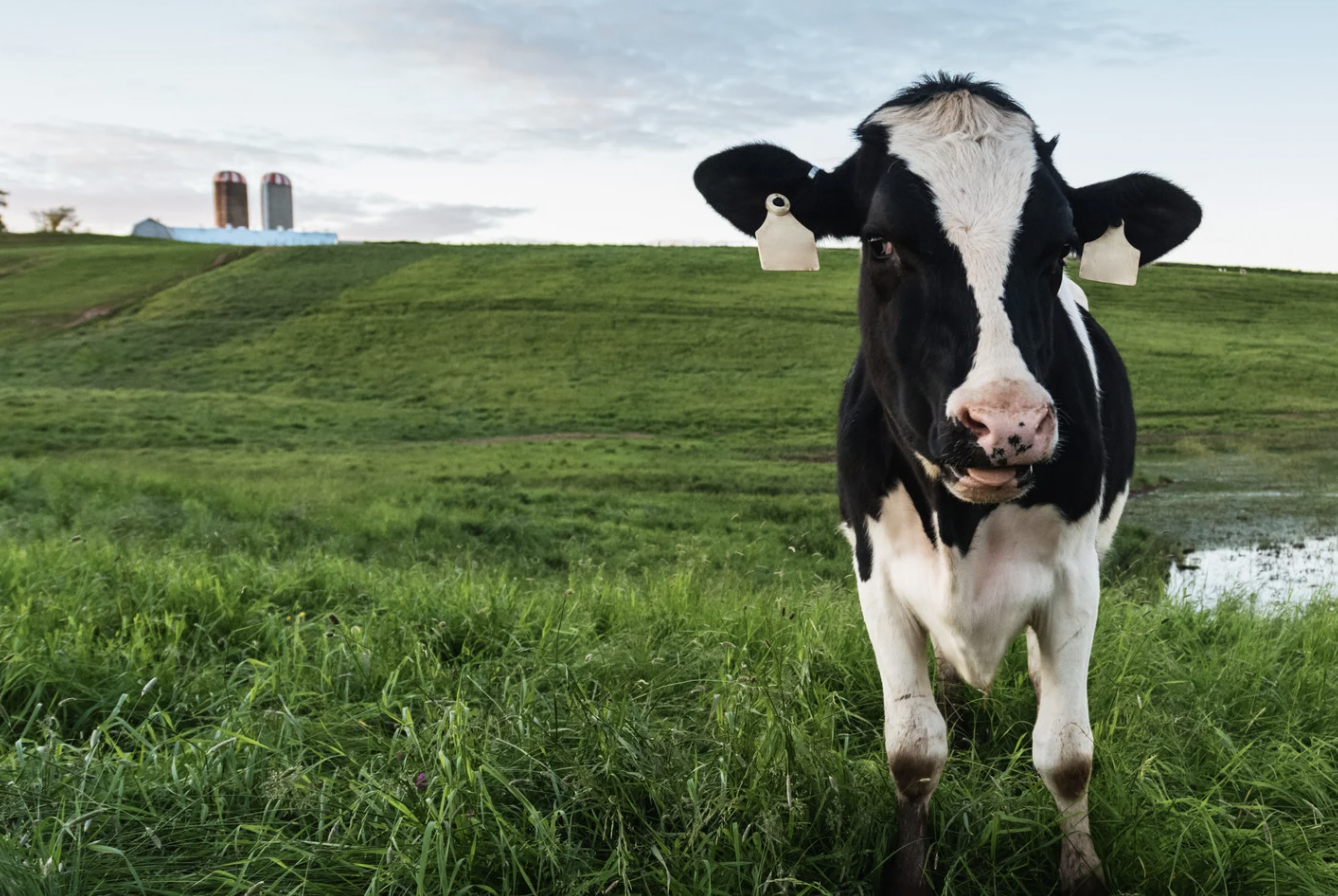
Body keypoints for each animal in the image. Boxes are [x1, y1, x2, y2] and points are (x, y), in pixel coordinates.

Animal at [693, 74, 1201, 894]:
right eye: (880, 242)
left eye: (1060, 249)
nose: (1006, 424)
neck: (963, 522)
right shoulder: (876, 574)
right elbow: (913, 748)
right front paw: (909, 871)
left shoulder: (1076, 576)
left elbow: (1067, 752)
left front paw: (1082, 870)